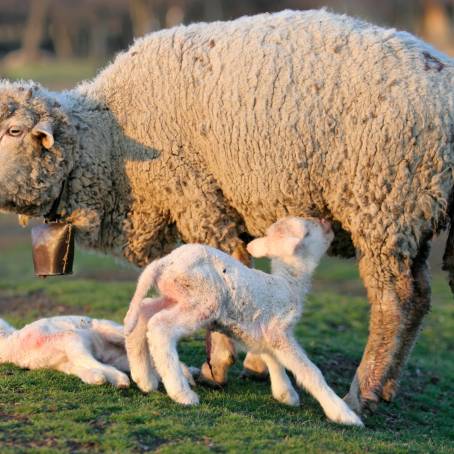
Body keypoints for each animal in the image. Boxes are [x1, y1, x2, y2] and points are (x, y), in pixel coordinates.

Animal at [122, 218, 364, 428]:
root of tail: (163, 263)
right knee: (160, 327)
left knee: (143, 313)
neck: (288, 283)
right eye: (307, 231)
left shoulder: (263, 332)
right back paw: (182, 393)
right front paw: (344, 414)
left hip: (174, 296)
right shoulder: (278, 330)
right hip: (203, 299)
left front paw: (285, 394)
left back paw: (144, 378)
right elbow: (310, 371)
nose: (328, 223)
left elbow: (271, 357)